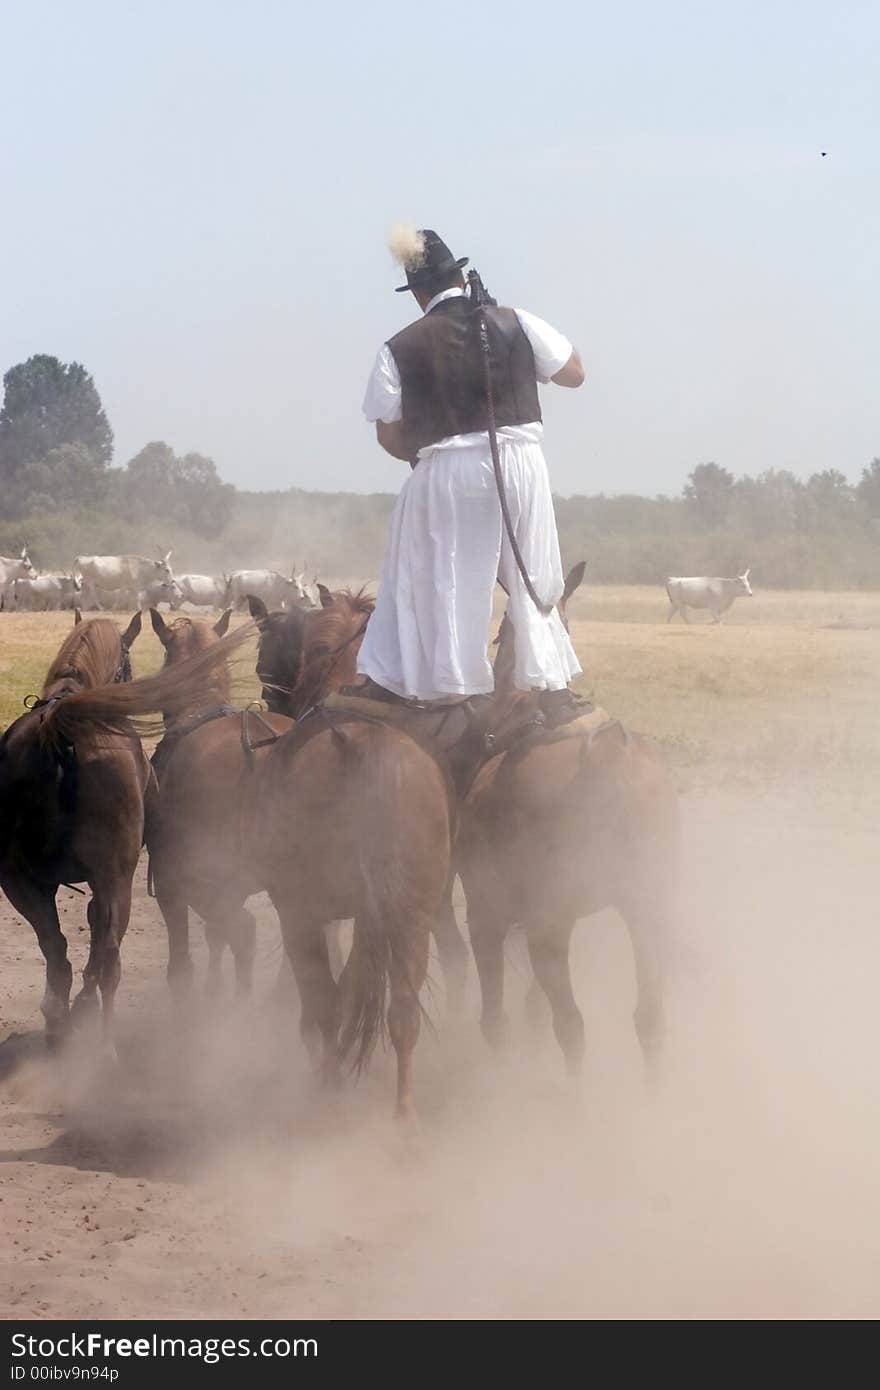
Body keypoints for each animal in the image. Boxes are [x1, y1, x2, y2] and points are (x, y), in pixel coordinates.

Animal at [0, 614, 145, 1045]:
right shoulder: (107, 879)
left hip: (19, 881)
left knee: (56, 950)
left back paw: (59, 1025)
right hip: (117, 880)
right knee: (109, 955)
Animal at [455, 564, 675, 1073]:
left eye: (501, 632)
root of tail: (608, 761)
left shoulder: (486, 911)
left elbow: (496, 1019)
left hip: (549, 927)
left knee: (570, 1025)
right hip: (647, 909)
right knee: (648, 1019)